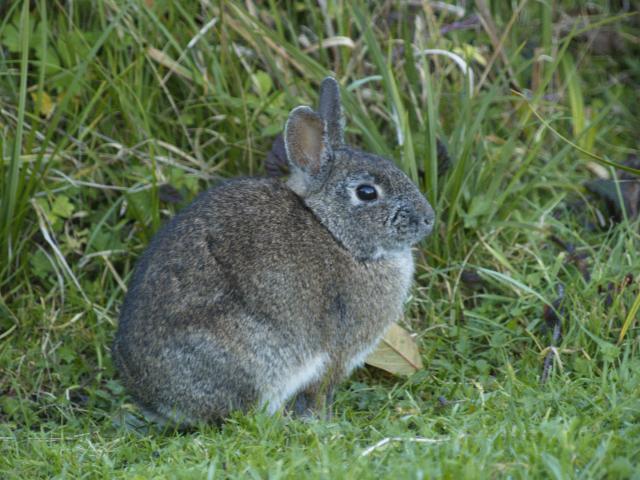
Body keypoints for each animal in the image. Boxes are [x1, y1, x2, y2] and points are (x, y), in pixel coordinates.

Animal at [112, 77, 438, 426]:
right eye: (366, 193)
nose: (428, 219)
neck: (333, 232)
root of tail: (157, 401)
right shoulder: (337, 352)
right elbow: (321, 392)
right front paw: (326, 423)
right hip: (258, 357)